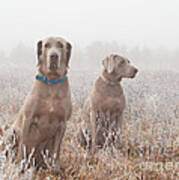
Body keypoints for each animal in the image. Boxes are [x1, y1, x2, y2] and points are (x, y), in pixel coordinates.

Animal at [12, 36, 72, 174]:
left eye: (61, 45)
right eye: (46, 45)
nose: (54, 56)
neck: (52, 83)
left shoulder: (63, 124)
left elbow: (56, 151)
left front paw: (56, 170)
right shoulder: (27, 119)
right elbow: (23, 146)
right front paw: (20, 168)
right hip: (12, 133)